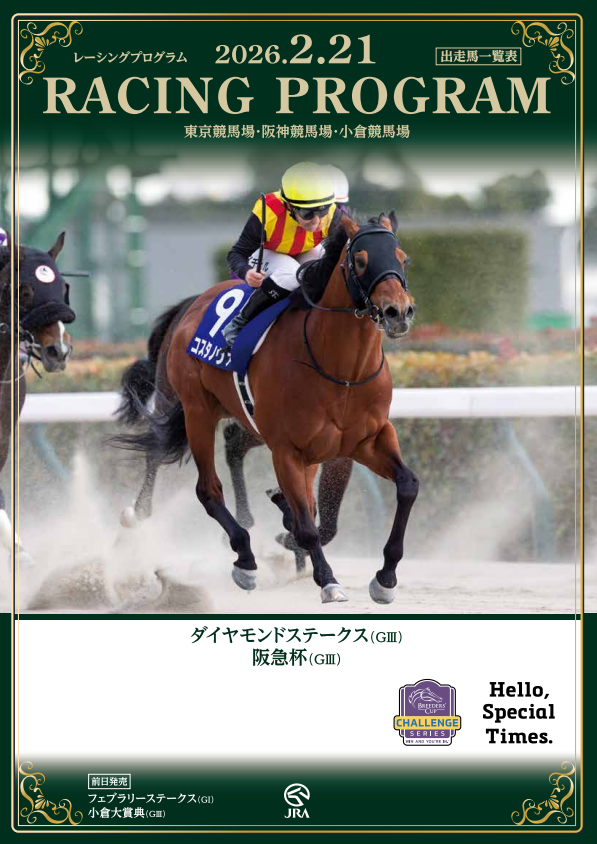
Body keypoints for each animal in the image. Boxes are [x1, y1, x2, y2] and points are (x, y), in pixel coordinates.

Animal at [116, 295, 354, 572]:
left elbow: (328, 521)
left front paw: (295, 539)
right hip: (175, 397)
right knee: (156, 449)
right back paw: (139, 514)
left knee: (233, 443)